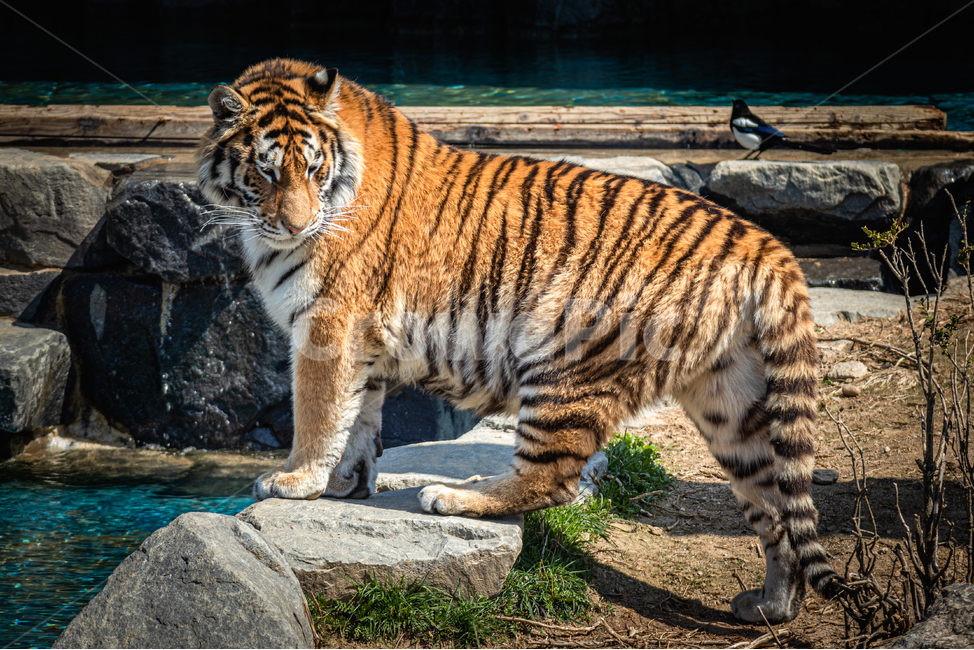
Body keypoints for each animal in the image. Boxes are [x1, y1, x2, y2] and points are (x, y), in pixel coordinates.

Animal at [197, 58, 840, 623]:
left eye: (311, 170)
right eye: (266, 172)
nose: (297, 225)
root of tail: (763, 243)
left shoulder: (329, 325)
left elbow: (317, 410)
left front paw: (292, 480)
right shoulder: (361, 343)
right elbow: (358, 419)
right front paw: (344, 485)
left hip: (562, 360)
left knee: (552, 480)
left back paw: (455, 495)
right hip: (733, 402)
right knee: (779, 513)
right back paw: (770, 608)